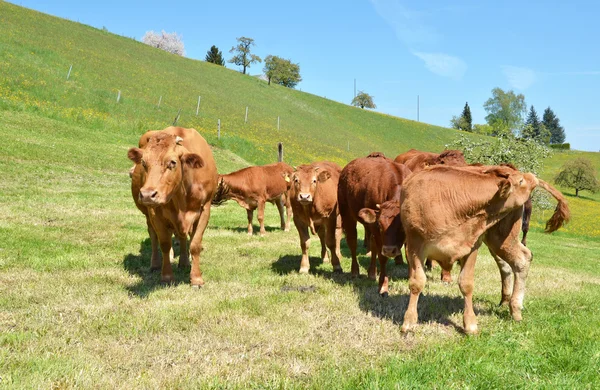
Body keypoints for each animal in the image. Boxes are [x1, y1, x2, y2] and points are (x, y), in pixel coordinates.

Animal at [129, 128, 218, 286]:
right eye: (144, 163)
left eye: (172, 162)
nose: (147, 194)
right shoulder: (155, 213)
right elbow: (164, 243)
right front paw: (167, 276)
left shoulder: (204, 210)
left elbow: (195, 245)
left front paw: (196, 278)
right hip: (148, 215)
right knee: (153, 236)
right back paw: (155, 264)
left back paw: (184, 262)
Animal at [338, 152, 412, 296]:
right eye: (380, 225)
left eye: (402, 227)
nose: (389, 250)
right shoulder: (376, 230)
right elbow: (382, 257)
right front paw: (383, 285)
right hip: (347, 214)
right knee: (352, 242)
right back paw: (355, 271)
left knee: (372, 246)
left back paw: (372, 272)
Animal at [400, 163, 568, 334]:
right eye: (521, 181)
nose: (532, 178)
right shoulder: (414, 245)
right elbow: (417, 282)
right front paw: (409, 322)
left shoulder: (472, 245)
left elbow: (466, 284)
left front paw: (470, 324)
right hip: (498, 240)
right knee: (513, 262)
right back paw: (509, 304)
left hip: (503, 237)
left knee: (521, 259)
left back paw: (515, 308)